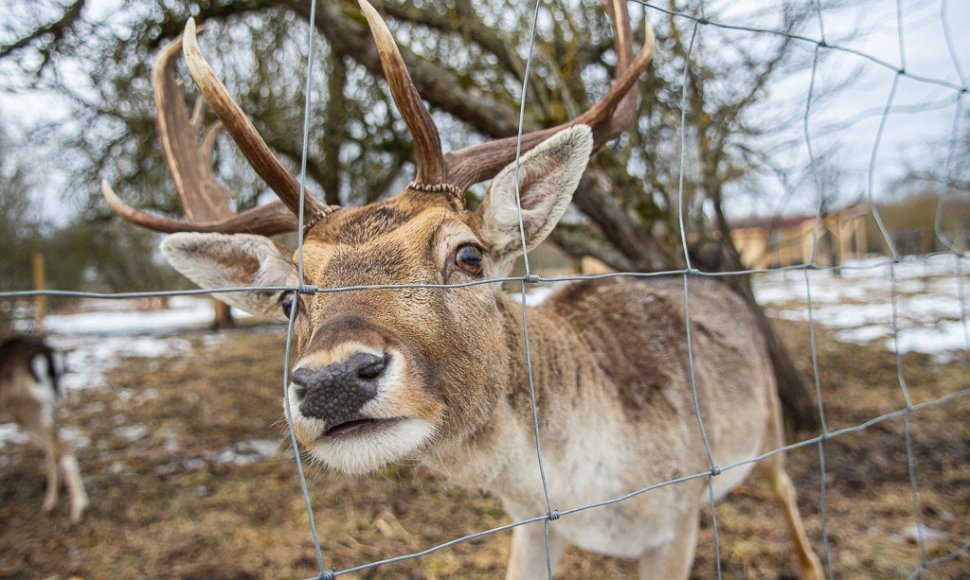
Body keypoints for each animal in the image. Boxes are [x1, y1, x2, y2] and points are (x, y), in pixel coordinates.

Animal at [0, 334, 89, 524]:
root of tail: (49, 357)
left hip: (26, 410)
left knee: (61, 444)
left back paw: (78, 508)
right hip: (50, 408)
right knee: (53, 446)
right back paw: (50, 503)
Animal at [100, 2, 824, 576]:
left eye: (468, 254)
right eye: (288, 299)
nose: (332, 380)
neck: (588, 490)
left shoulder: (676, 521)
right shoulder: (532, 525)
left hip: (768, 428)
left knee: (790, 489)